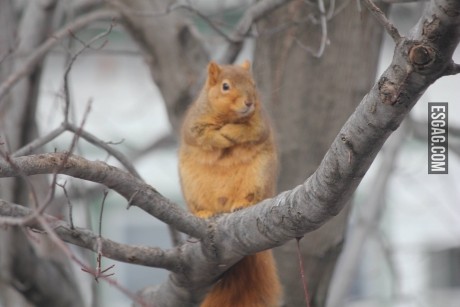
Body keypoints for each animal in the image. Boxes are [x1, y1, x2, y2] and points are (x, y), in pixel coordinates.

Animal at [179, 60, 280, 307]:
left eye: (253, 84)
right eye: (225, 86)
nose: (249, 102)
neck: (228, 116)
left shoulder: (259, 124)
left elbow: (249, 130)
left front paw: (230, 131)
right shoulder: (194, 124)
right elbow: (203, 135)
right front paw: (220, 135)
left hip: (259, 178)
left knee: (251, 196)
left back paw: (242, 203)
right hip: (192, 188)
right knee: (201, 207)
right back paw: (204, 213)